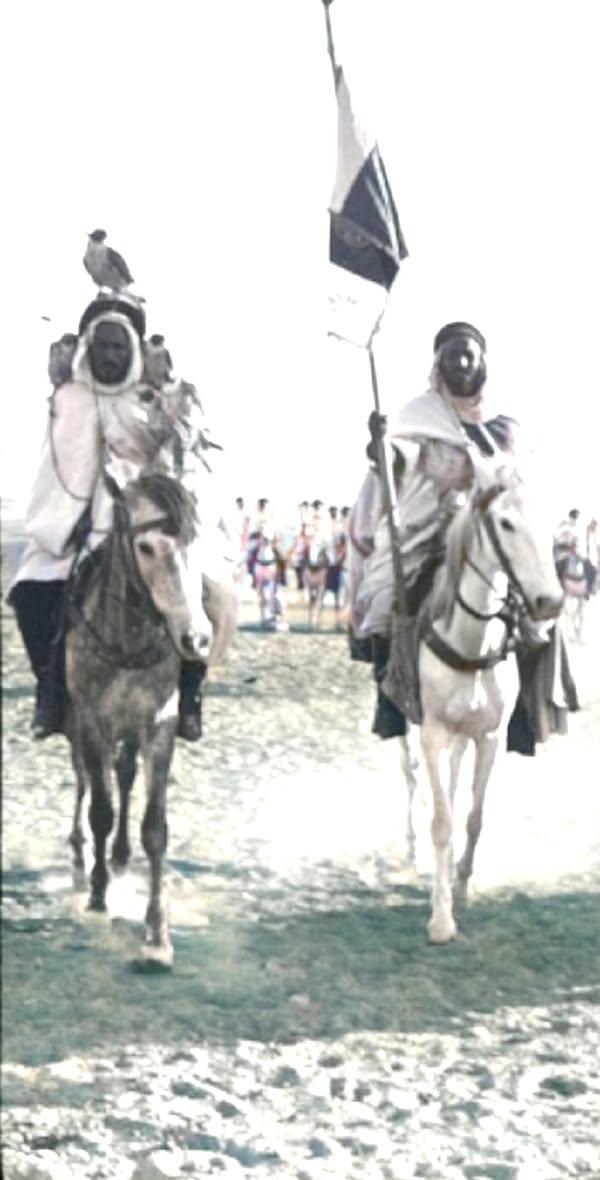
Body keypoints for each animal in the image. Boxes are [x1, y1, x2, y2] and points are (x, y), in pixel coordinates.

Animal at [65, 470, 226, 968]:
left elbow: (154, 828)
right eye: (146, 547)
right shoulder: (92, 723)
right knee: (84, 782)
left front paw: (157, 934)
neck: (126, 641)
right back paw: (82, 851)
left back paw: (119, 855)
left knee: (125, 775)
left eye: (196, 543)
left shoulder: (159, 726)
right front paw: (98, 894)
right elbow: (100, 810)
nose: (196, 638)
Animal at [413, 465, 563, 943]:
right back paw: (412, 851)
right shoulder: (432, 733)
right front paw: (441, 918)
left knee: (452, 784)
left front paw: (461, 883)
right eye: (505, 523)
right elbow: (441, 823)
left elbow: (473, 816)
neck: (468, 644)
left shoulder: (488, 736)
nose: (550, 602)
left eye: (551, 522)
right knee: (412, 779)